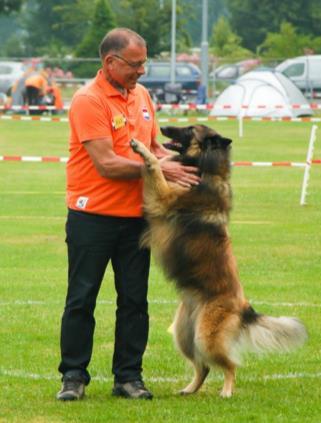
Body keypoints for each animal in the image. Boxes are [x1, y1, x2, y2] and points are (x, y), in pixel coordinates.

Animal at [129, 125, 304, 398]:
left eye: (190, 129)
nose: (163, 127)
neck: (206, 168)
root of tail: (244, 307)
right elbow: (158, 167)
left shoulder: (163, 197)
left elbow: (155, 167)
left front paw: (142, 149)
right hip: (184, 335)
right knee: (203, 367)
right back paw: (189, 389)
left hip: (206, 337)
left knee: (230, 365)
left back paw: (227, 391)